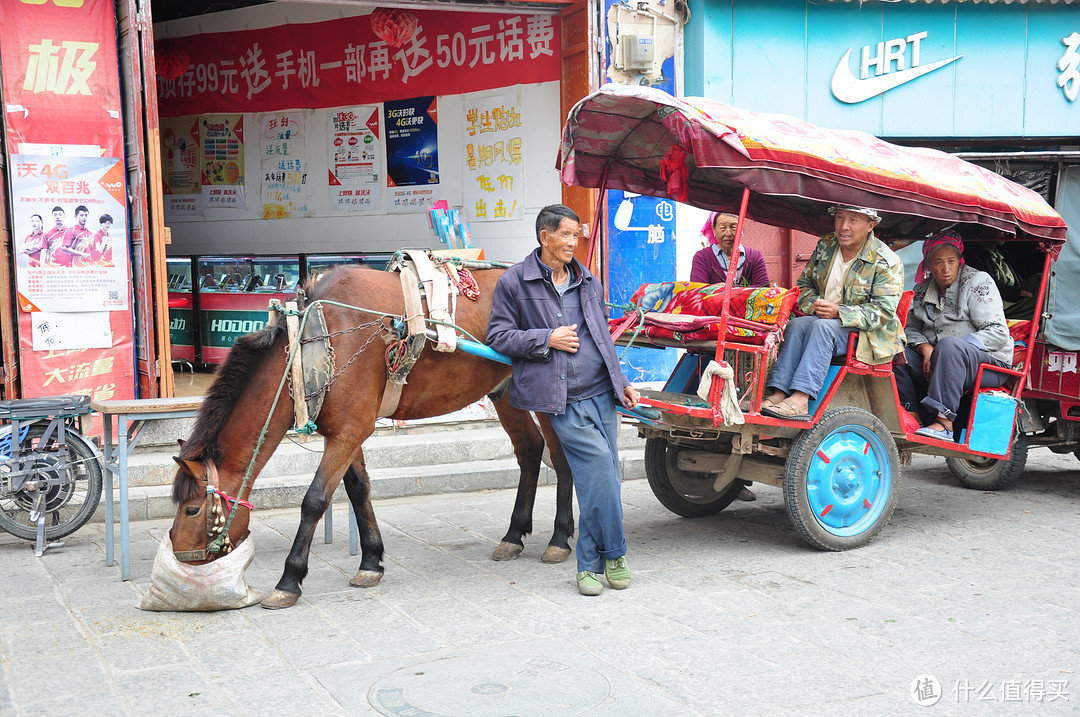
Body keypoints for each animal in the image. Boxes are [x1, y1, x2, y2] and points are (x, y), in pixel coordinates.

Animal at [170, 265, 574, 609]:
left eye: (192, 509)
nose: (180, 554)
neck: (310, 347)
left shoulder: (349, 431)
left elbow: (315, 500)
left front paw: (290, 579)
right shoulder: (349, 431)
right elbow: (358, 488)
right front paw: (371, 561)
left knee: (564, 458)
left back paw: (560, 537)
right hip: (506, 392)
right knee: (530, 450)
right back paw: (514, 535)